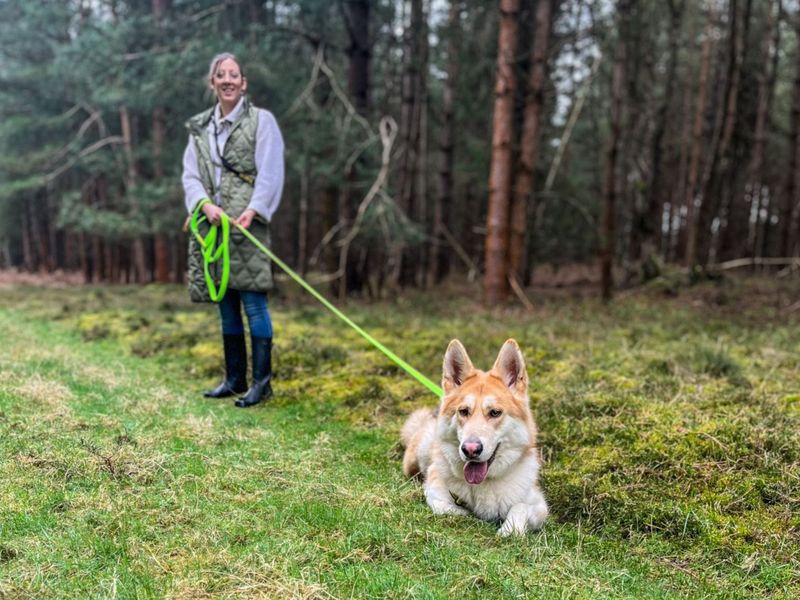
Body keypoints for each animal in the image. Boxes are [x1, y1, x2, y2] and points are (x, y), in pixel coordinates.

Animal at [404, 340, 548, 536]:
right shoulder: (434, 490)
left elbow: (520, 507)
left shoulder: (540, 505)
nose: (470, 449)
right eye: (464, 411)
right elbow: (447, 508)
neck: (484, 483)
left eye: (495, 412)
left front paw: (510, 529)